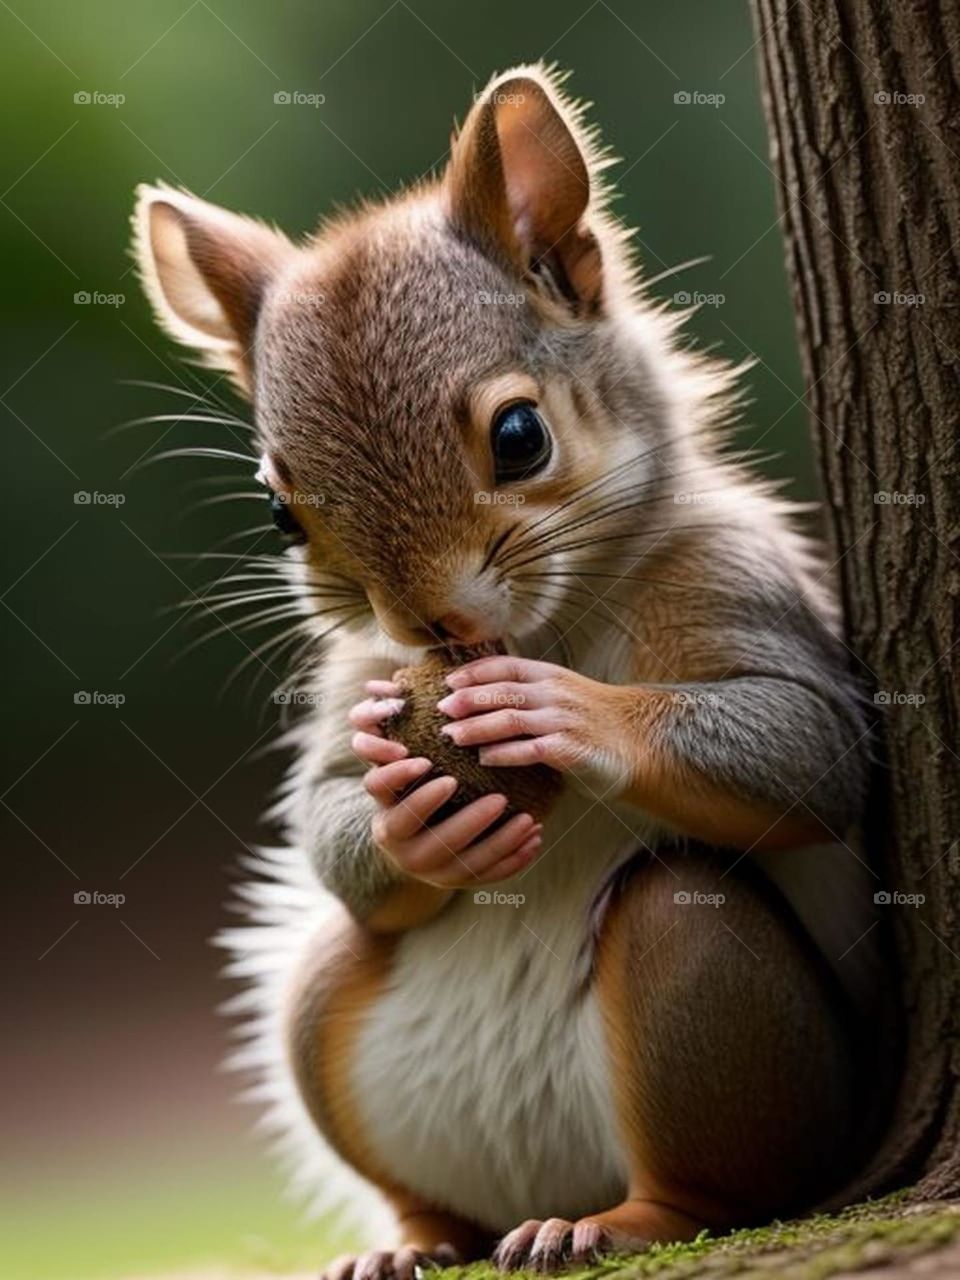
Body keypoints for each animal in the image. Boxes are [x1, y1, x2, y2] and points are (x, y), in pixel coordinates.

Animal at [132, 63, 889, 1278]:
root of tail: (548, 1177)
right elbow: (325, 817)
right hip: (322, 1009)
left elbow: (810, 750)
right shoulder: (351, 682)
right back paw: (405, 1244)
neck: (550, 624)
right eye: (279, 512)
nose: (432, 625)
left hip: (711, 989)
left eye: (521, 434)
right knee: (417, 1168)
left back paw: (611, 1221)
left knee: (716, 1182)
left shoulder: (738, 578)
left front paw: (567, 713)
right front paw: (409, 813)